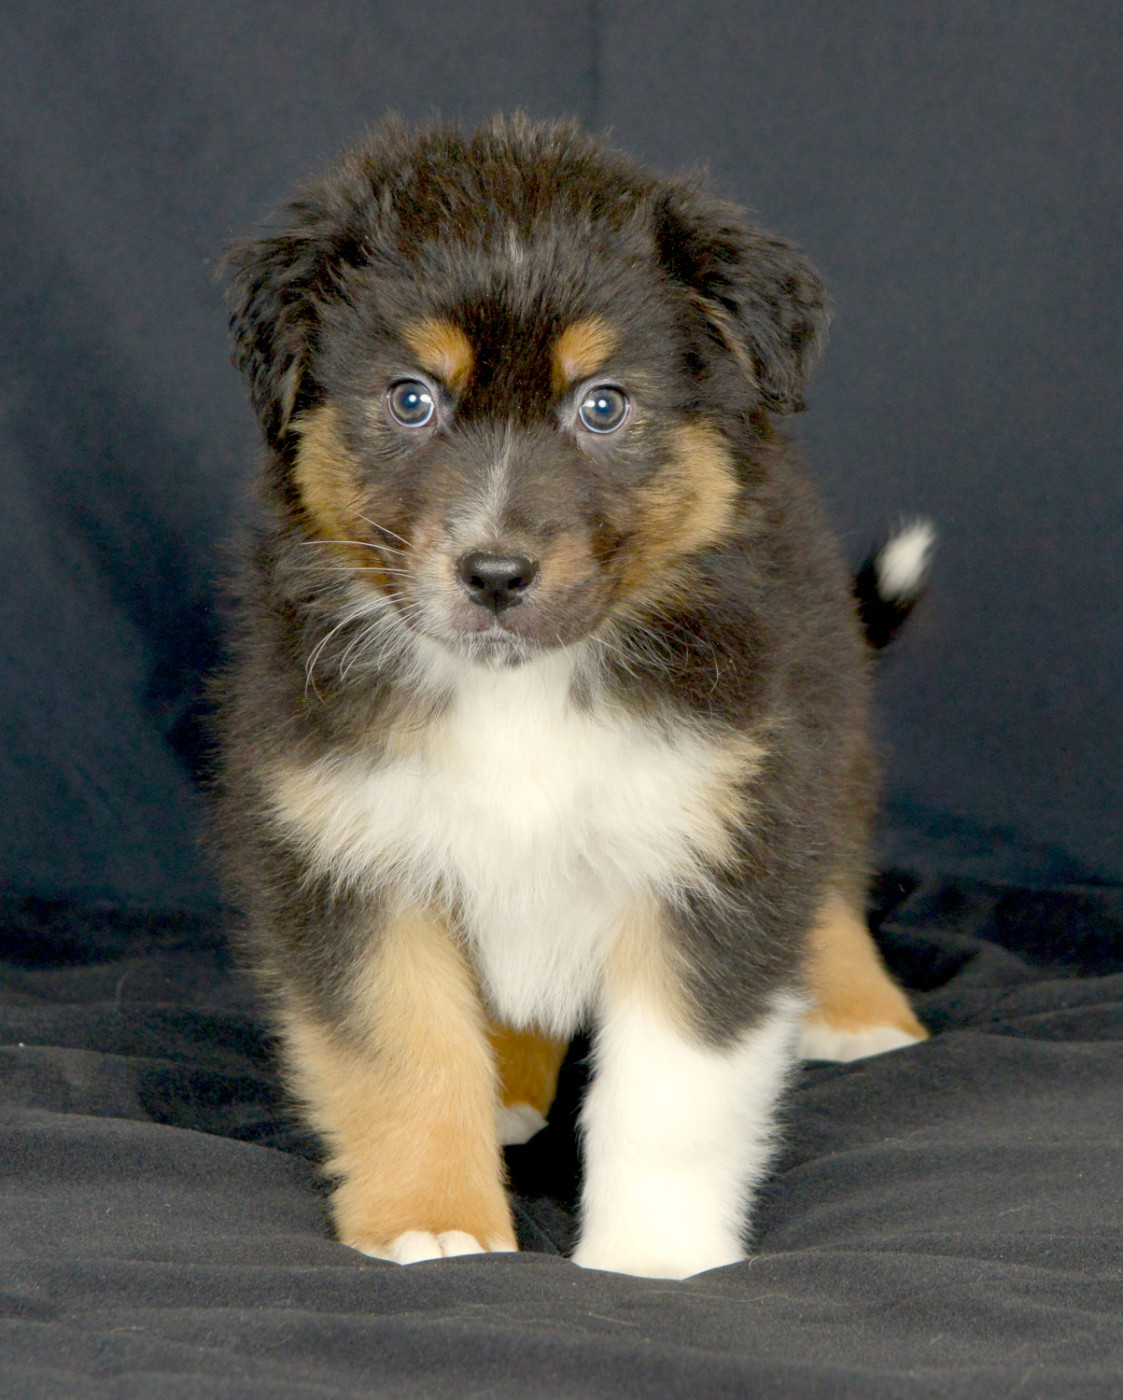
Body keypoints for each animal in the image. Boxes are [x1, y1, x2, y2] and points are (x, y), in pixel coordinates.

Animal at [214, 114, 929, 1280]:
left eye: (603, 406)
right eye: (411, 398)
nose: (496, 574)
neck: (522, 694)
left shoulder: (715, 834)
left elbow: (674, 1085)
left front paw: (652, 1257)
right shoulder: (348, 847)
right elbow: (402, 1051)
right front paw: (431, 1220)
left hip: (823, 717)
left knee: (831, 868)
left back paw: (859, 1007)